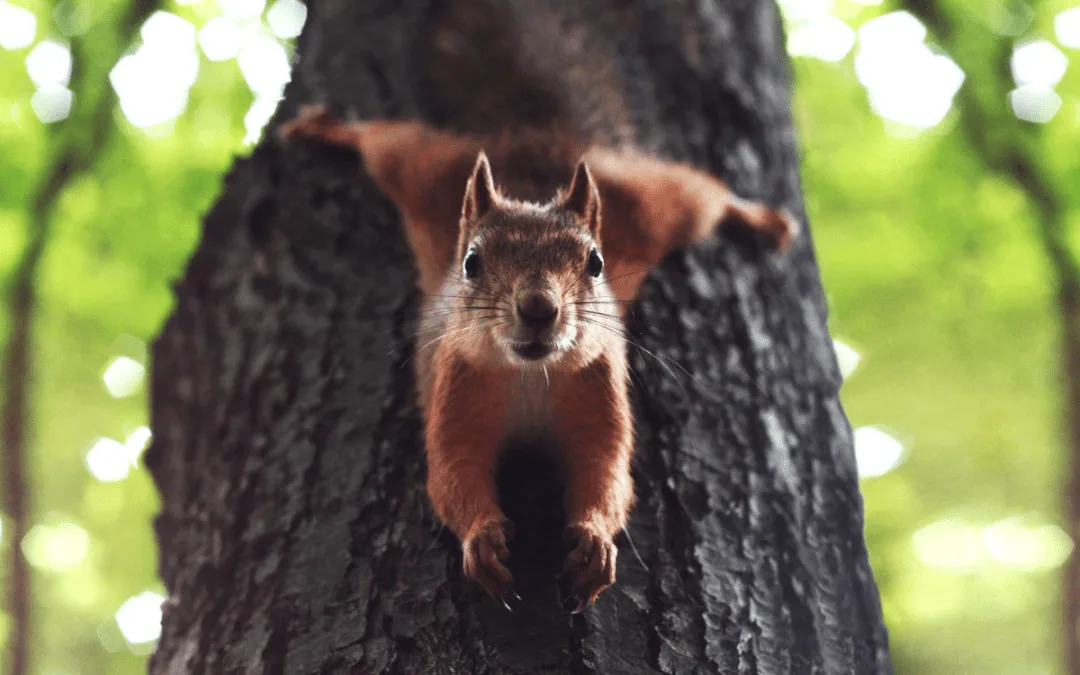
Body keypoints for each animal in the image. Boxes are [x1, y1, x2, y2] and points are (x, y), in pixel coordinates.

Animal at [278, 105, 797, 612]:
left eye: (595, 263)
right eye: (471, 263)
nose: (539, 309)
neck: (529, 375)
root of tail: (530, 158)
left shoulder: (600, 386)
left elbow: (607, 469)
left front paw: (594, 538)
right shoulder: (454, 385)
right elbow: (452, 473)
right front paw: (482, 537)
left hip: (650, 205)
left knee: (700, 192)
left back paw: (759, 217)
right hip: (427, 174)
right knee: (390, 140)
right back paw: (328, 127)